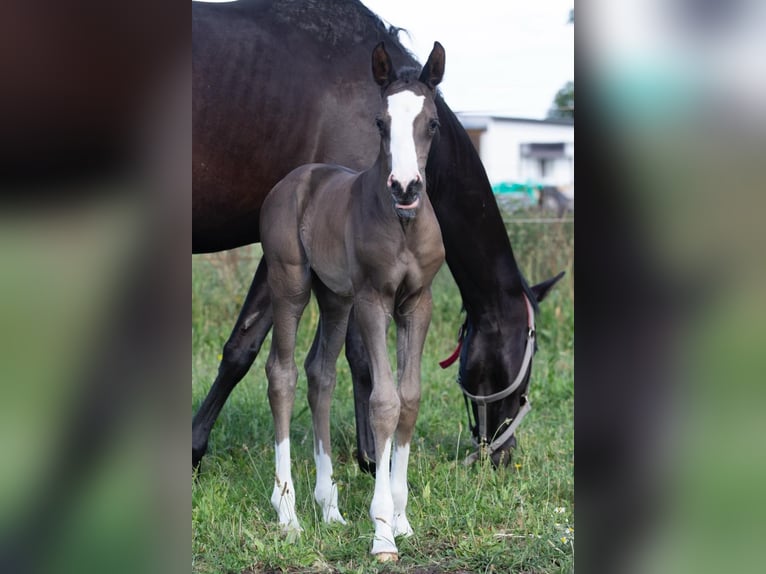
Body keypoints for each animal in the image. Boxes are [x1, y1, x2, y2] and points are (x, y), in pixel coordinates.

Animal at [260, 41, 448, 564]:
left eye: (433, 123)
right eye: (381, 123)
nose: (405, 187)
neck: (402, 226)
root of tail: (295, 179)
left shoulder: (417, 303)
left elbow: (410, 397)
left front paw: (402, 519)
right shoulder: (373, 301)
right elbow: (383, 401)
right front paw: (382, 532)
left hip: (335, 298)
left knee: (319, 373)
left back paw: (329, 507)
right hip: (291, 284)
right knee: (281, 373)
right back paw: (288, 513)